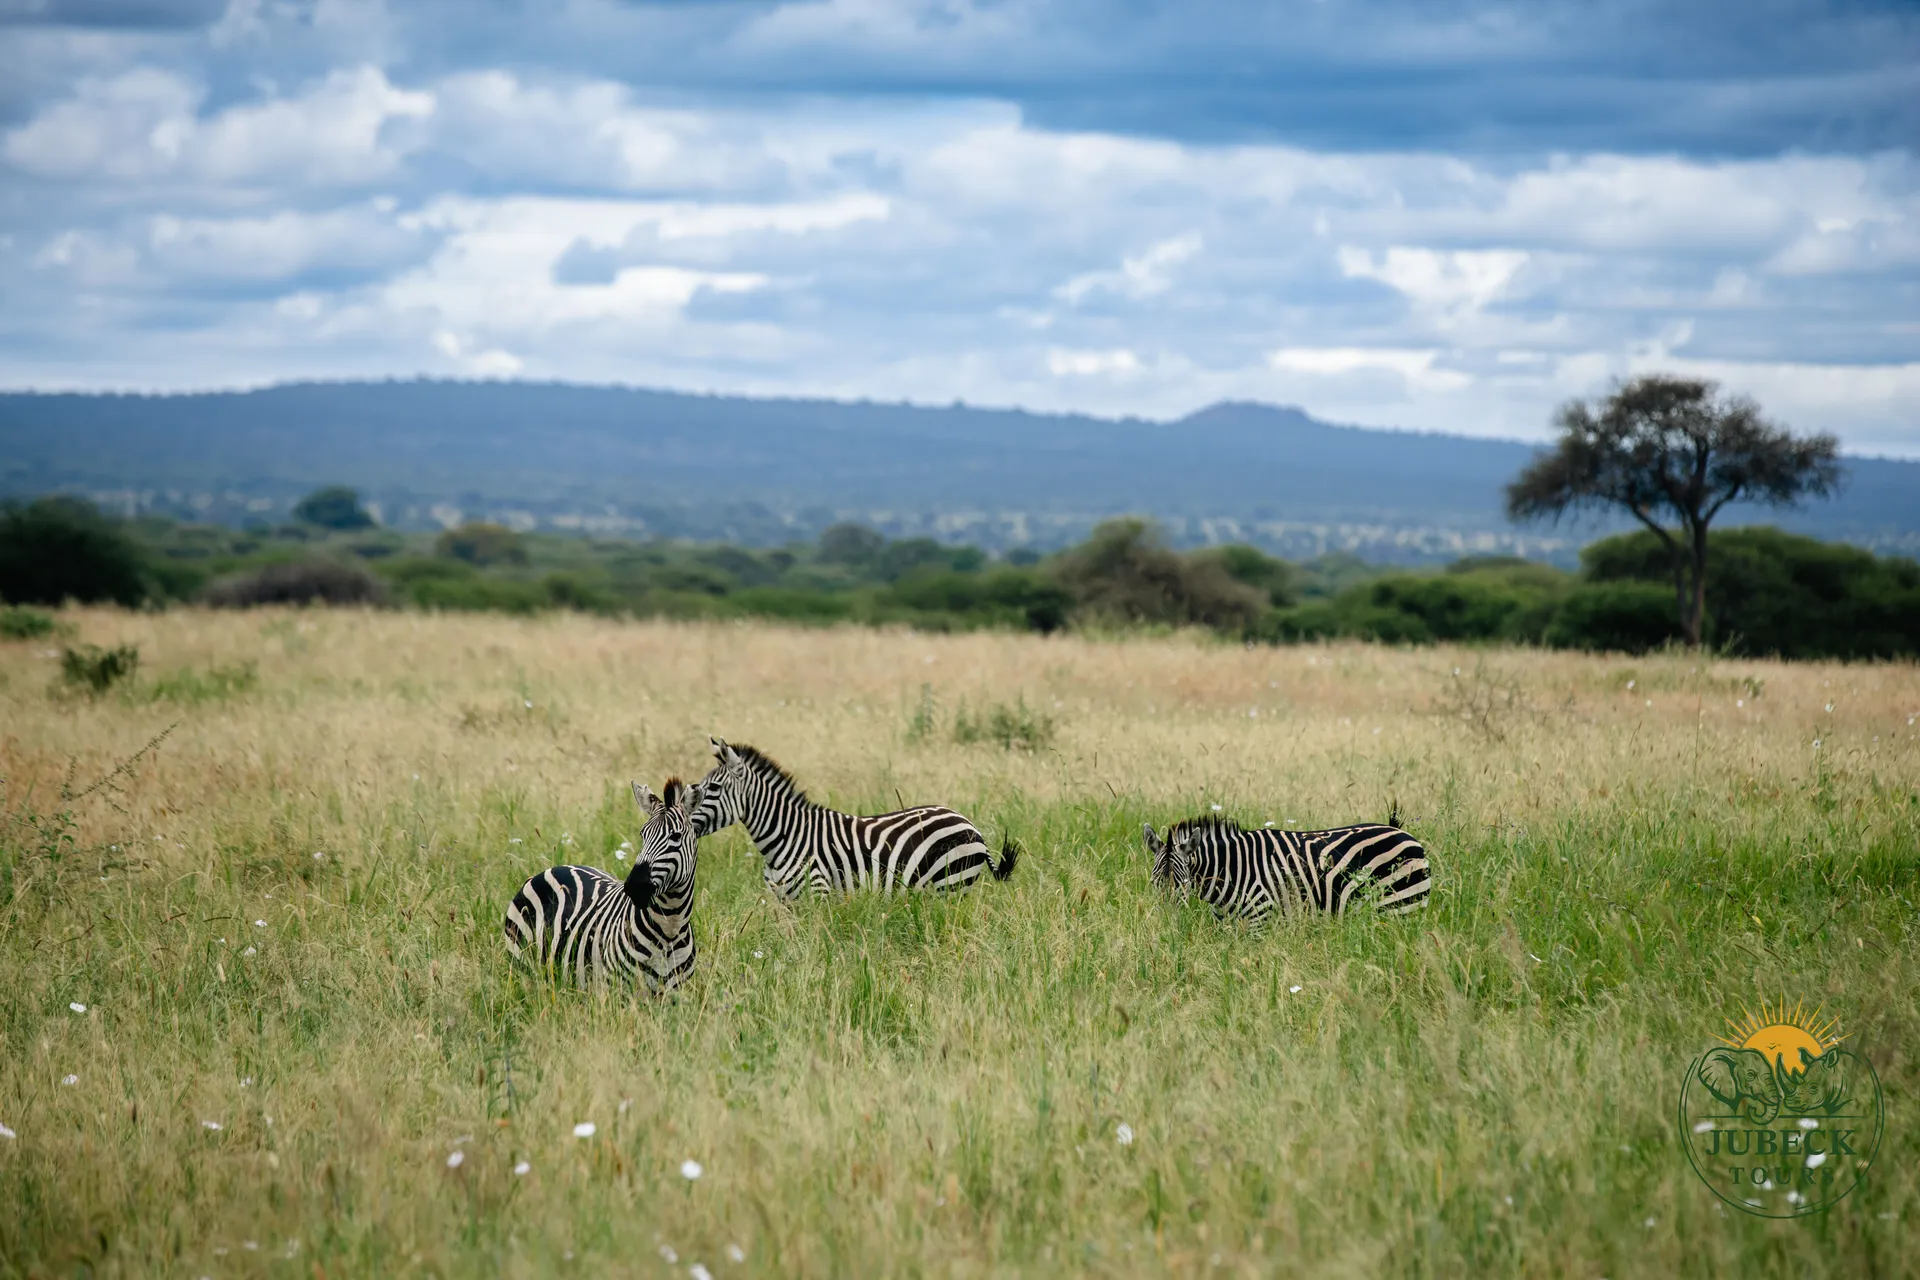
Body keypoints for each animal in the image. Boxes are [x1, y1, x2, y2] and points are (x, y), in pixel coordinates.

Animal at [501, 778, 706, 990]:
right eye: (642, 835)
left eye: (676, 836)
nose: (634, 886)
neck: (669, 929)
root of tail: (553, 868)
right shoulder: (617, 988)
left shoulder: (676, 995)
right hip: (523, 964)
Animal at [691, 737, 1018, 898]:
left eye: (713, 789)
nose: (685, 822)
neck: (787, 837)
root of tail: (970, 824)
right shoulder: (784, 902)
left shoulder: (818, 894)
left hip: (952, 885)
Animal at [1141, 812, 1430, 921]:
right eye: (1155, 883)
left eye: (1183, 883)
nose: (1166, 920)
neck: (1233, 870)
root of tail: (1403, 834)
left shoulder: (1260, 917)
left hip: (1399, 906)